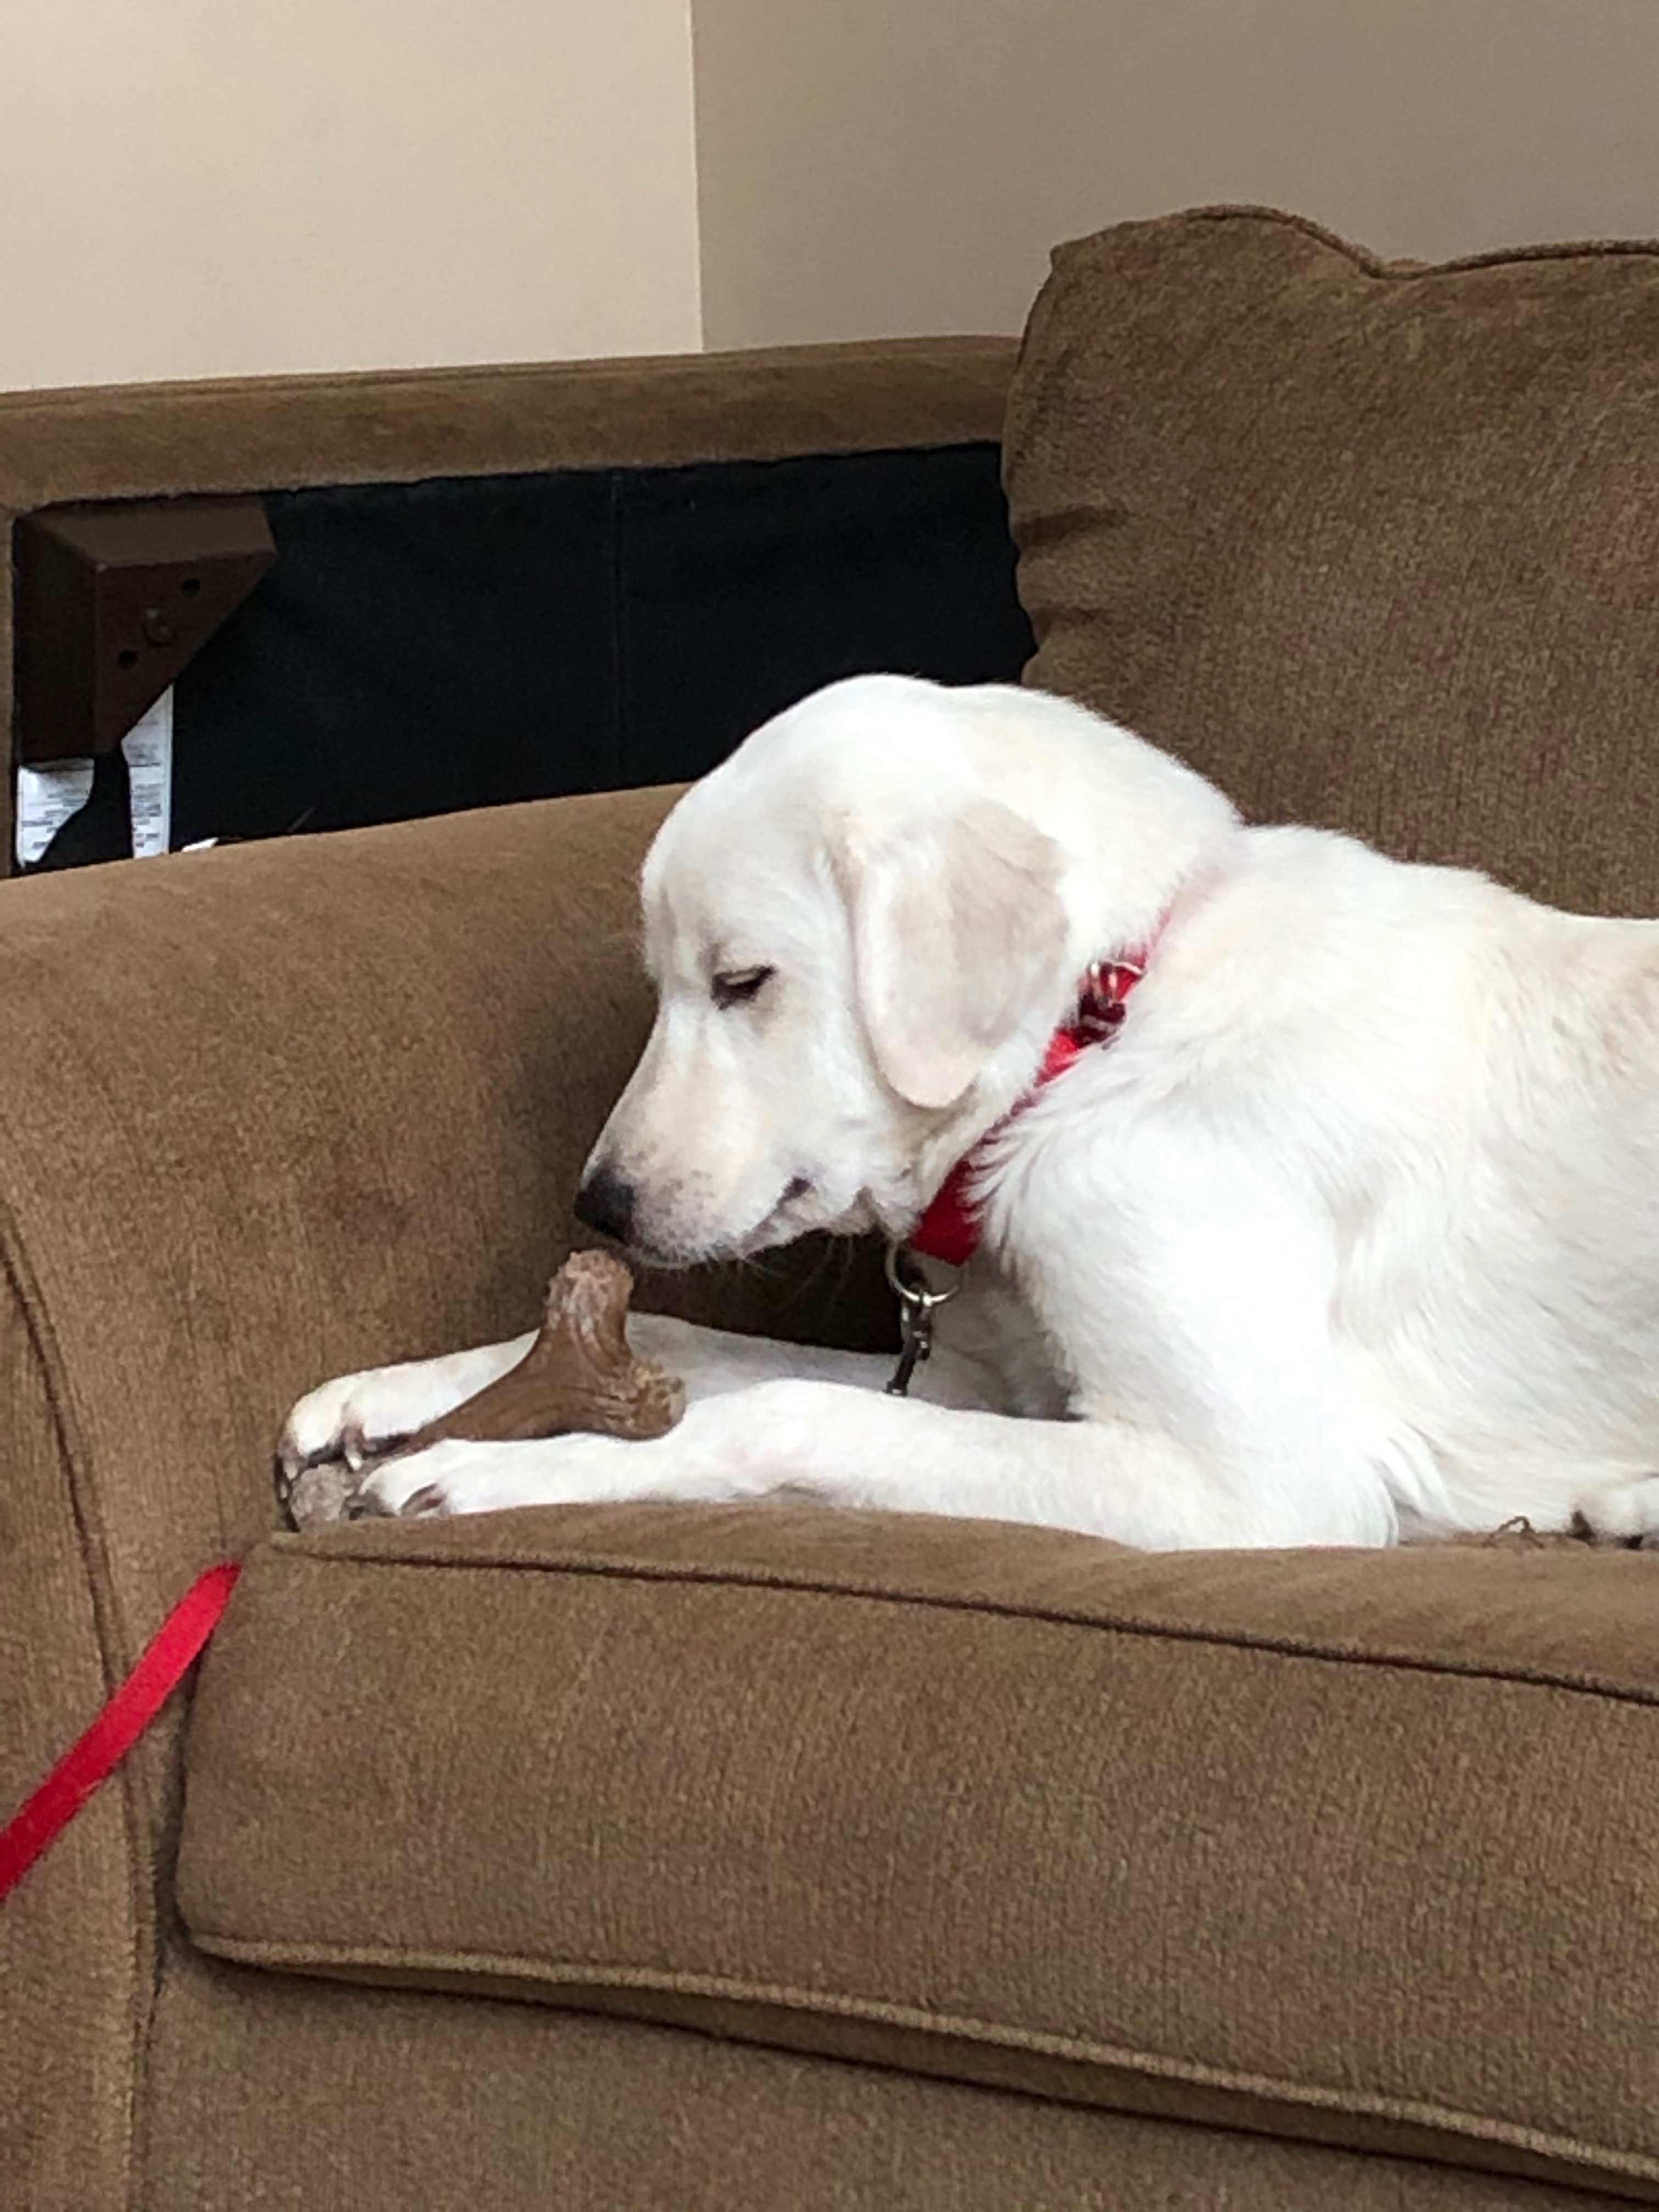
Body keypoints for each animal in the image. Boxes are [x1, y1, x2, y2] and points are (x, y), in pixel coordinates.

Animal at [283, 672, 1659, 1557]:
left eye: (743, 980)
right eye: (663, 981)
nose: (597, 1206)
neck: (1104, 1026)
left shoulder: (1264, 1489)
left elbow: (785, 1409)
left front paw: (496, 1469)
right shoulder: (1000, 1386)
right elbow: (692, 1343)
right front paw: (397, 1394)